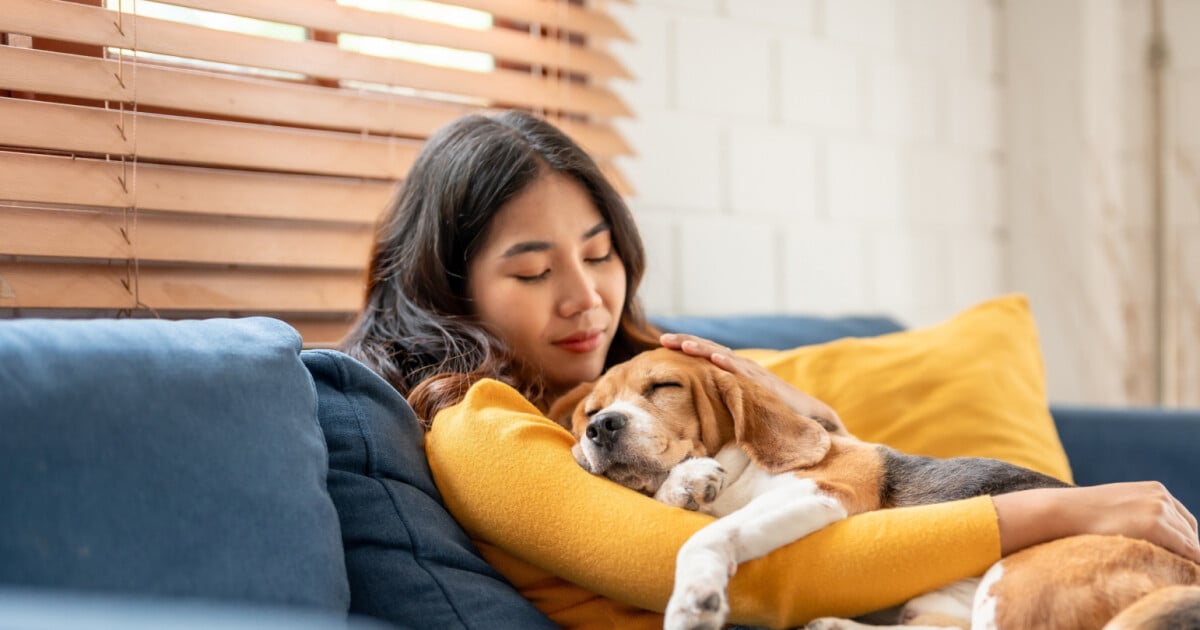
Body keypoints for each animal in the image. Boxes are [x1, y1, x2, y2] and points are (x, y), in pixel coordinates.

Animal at [547, 345, 1200, 628]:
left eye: (663, 387)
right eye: (590, 413)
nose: (602, 429)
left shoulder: (823, 491)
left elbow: (704, 538)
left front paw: (693, 598)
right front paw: (685, 483)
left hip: (1016, 588)